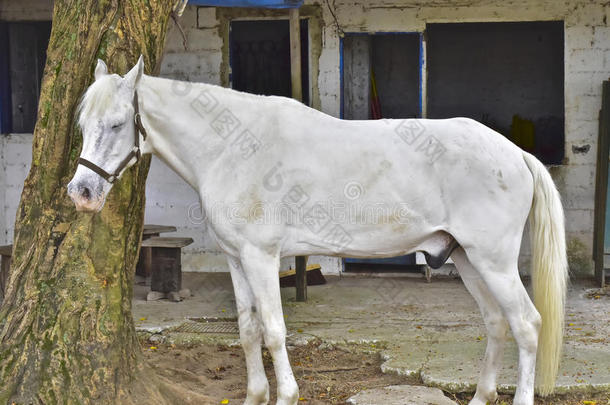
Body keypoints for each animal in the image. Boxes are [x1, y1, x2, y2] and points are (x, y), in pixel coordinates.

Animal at [69, 56, 568, 404]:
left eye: (117, 124)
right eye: (83, 124)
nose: (82, 192)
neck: (233, 148)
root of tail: (515, 152)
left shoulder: (262, 257)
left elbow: (273, 330)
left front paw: (285, 395)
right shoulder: (236, 259)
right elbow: (247, 330)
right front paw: (255, 395)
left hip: (493, 261)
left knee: (527, 324)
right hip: (465, 257)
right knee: (497, 322)